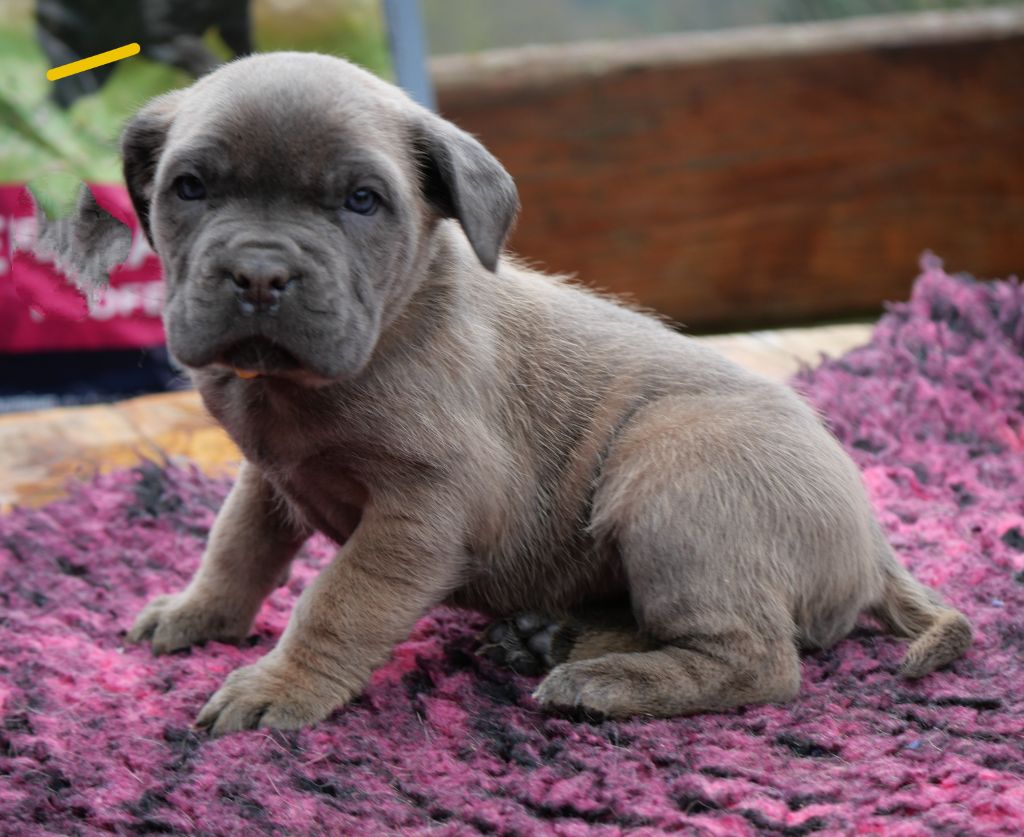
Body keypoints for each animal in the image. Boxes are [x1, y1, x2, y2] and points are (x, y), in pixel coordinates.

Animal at [121, 52, 966, 729]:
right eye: (189, 188)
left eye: (362, 201)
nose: (259, 274)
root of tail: (873, 546)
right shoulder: (269, 476)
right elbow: (236, 547)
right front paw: (197, 612)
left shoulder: (421, 513)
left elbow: (337, 601)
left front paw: (283, 685)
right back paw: (552, 637)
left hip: (672, 473)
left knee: (757, 659)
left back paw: (601, 679)